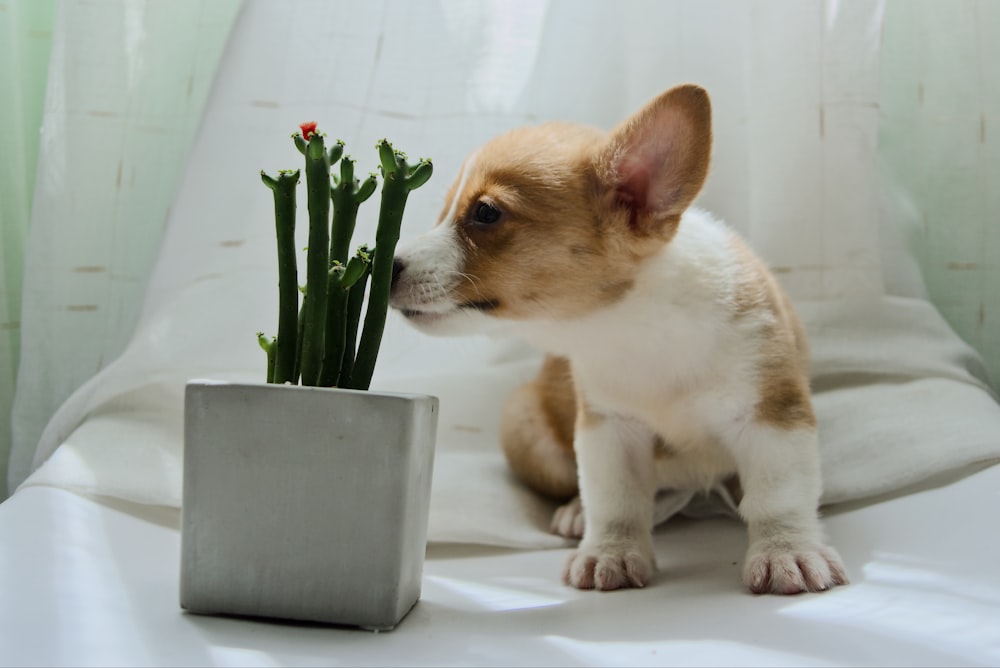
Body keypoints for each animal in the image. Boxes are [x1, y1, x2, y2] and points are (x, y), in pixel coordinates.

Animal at [386, 85, 848, 596]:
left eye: (486, 213)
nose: (386, 266)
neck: (633, 327)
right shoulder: (609, 428)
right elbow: (616, 499)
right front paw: (610, 553)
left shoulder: (773, 417)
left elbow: (778, 495)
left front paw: (787, 552)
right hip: (525, 427)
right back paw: (577, 513)